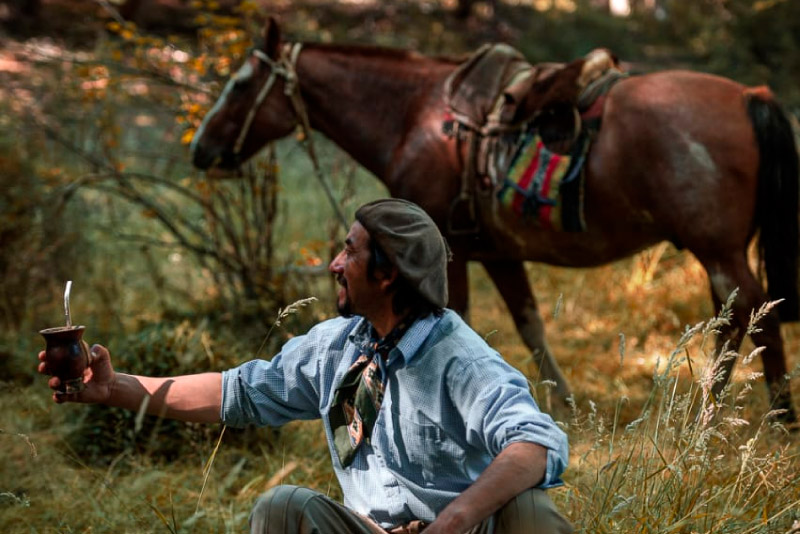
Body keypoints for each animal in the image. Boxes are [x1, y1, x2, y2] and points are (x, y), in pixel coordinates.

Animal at [192, 18, 800, 426]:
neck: (415, 117)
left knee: (747, 312)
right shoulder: (500, 254)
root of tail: (750, 95)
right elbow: (530, 323)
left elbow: (452, 319)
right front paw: (562, 401)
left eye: (241, 85)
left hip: (717, 249)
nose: (201, 150)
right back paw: (774, 414)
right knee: (753, 313)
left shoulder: (443, 254)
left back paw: (727, 412)